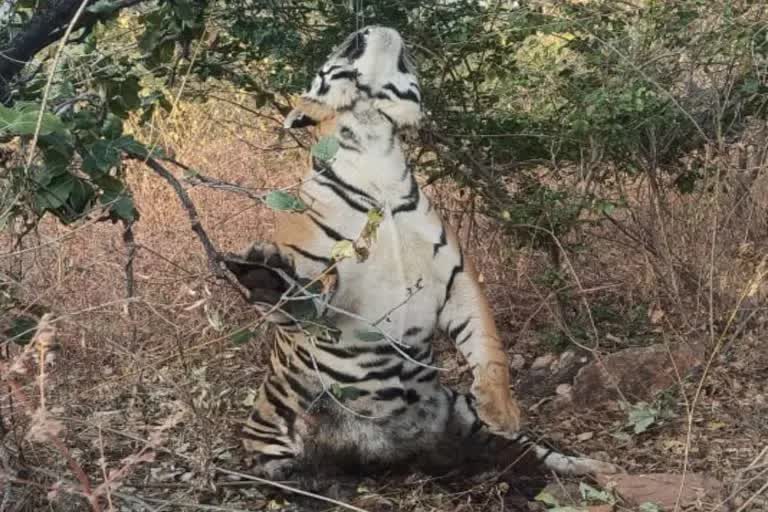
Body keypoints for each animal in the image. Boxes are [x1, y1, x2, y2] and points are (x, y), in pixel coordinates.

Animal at [225, 25, 620, 480]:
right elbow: (295, 303)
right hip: (270, 433)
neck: (376, 150)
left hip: (464, 416)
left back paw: (596, 466)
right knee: (284, 468)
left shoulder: (456, 278)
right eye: (347, 46)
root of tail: (396, 457)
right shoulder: (320, 283)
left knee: (533, 454)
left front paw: (502, 407)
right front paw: (262, 275)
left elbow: (490, 345)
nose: (368, 27)